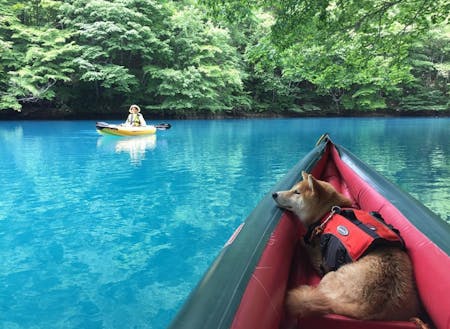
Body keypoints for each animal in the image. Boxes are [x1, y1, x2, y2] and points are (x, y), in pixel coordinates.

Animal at [272, 172, 424, 320]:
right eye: (292, 189)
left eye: (296, 192)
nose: (274, 194)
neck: (327, 213)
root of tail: (369, 309)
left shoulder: (319, 259)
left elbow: (308, 247)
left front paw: (303, 241)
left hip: (329, 276)